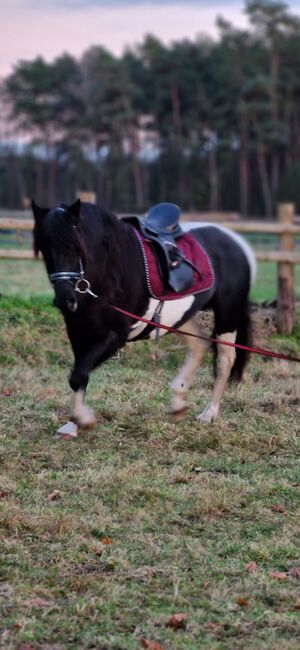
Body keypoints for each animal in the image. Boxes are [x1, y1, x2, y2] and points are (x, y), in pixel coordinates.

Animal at [31, 197, 255, 436]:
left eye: (75, 246)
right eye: (43, 248)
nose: (65, 301)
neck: (110, 269)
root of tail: (234, 241)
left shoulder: (115, 336)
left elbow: (79, 373)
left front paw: (83, 420)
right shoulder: (78, 333)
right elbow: (78, 374)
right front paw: (73, 425)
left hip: (228, 313)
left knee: (225, 360)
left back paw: (209, 413)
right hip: (183, 316)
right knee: (198, 346)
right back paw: (178, 403)